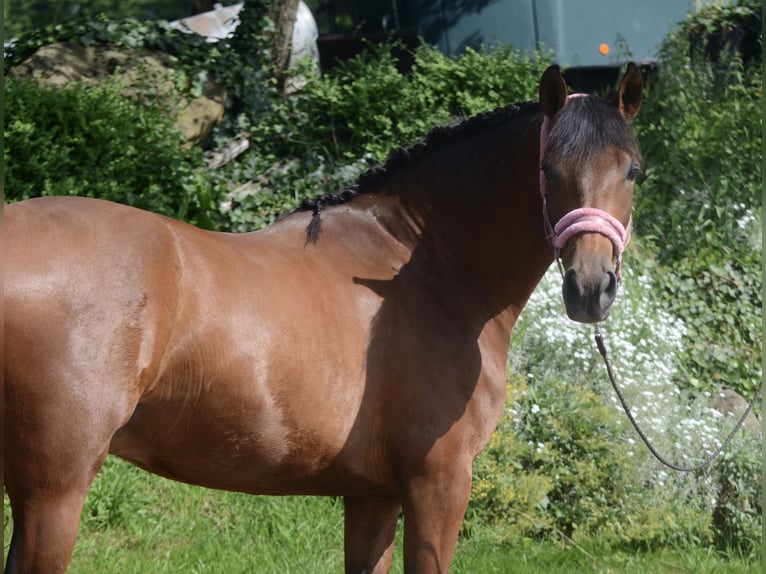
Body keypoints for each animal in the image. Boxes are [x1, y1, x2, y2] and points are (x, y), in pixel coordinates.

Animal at [3, 62, 643, 573]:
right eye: (548, 167)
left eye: (633, 171)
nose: (591, 287)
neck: (425, 270)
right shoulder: (438, 482)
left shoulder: (374, 495)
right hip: (53, 492)